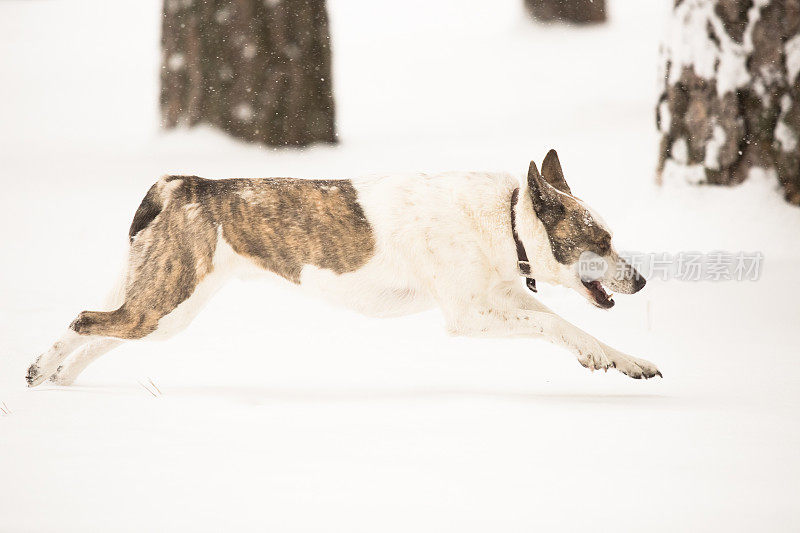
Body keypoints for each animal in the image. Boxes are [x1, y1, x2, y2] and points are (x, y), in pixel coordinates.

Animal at [26, 150, 664, 386]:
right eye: (601, 240)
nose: (640, 280)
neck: (504, 220)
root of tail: (181, 183)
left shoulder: (504, 298)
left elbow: (571, 325)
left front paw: (622, 359)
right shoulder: (469, 315)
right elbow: (555, 323)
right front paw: (600, 358)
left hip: (164, 309)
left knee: (100, 330)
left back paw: (59, 378)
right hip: (166, 305)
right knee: (85, 320)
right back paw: (41, 372)